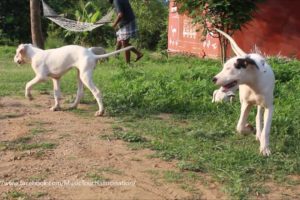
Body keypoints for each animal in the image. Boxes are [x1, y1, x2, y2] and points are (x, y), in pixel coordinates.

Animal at [212, 28, 276, 156]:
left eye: (229, 69)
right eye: (223, 67)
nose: (213, 79)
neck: (253, 84)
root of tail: (246, 56)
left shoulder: (269, 107)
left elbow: (266, 130)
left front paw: (265, 148)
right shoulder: (246, 104)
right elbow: (240, 126)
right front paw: (248, 129)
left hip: (260, 104)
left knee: (258, 116)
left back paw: (259, 135)